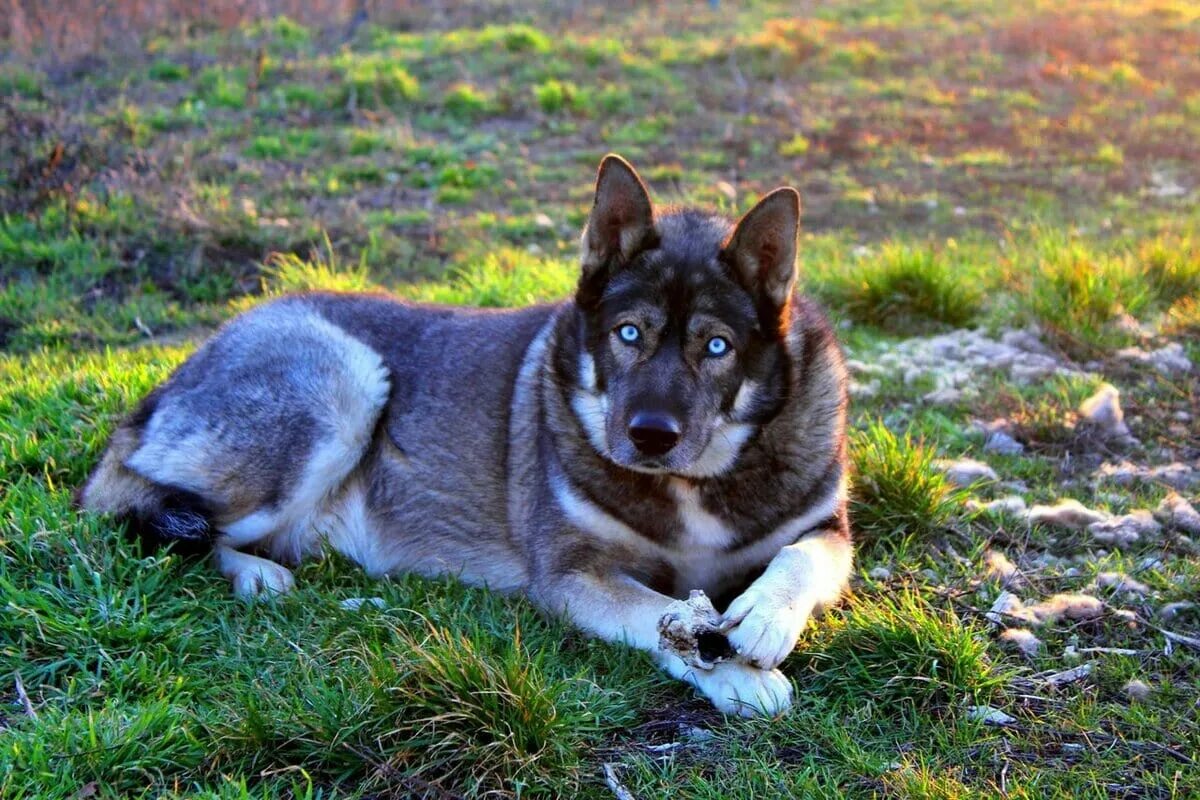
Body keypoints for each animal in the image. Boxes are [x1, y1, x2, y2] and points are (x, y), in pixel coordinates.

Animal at [79, 153, 854, 714]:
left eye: (716, 346)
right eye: (629, 334)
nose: (649, 436)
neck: (692, 482)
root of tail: (182, 369)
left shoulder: (829, 528)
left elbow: (799, 559)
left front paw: (763, 616)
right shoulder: (572, 575)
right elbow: (663, 616)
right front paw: (733, 673)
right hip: (342, 386)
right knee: (141, 513)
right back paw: (256, 573)